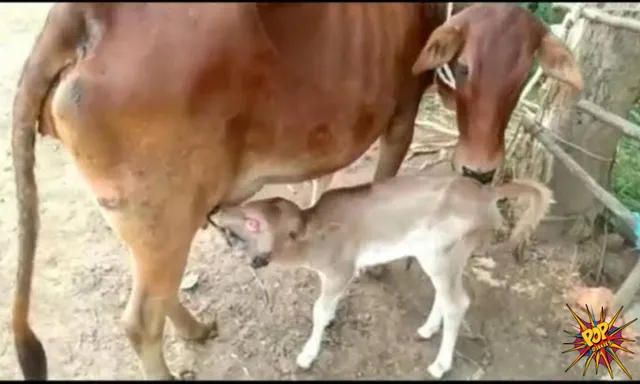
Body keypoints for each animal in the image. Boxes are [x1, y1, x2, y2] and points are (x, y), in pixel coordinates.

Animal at [212, 170, 552, 378]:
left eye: (254, 222)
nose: (217, 211)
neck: (312, 240)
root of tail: (488, 195)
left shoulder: (340, 270)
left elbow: (319, 310)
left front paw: (307, 356)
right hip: (443, 256)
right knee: (446, 296)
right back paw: (427, 329)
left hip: (442, 252)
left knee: (459, 302)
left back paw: (440, 365)